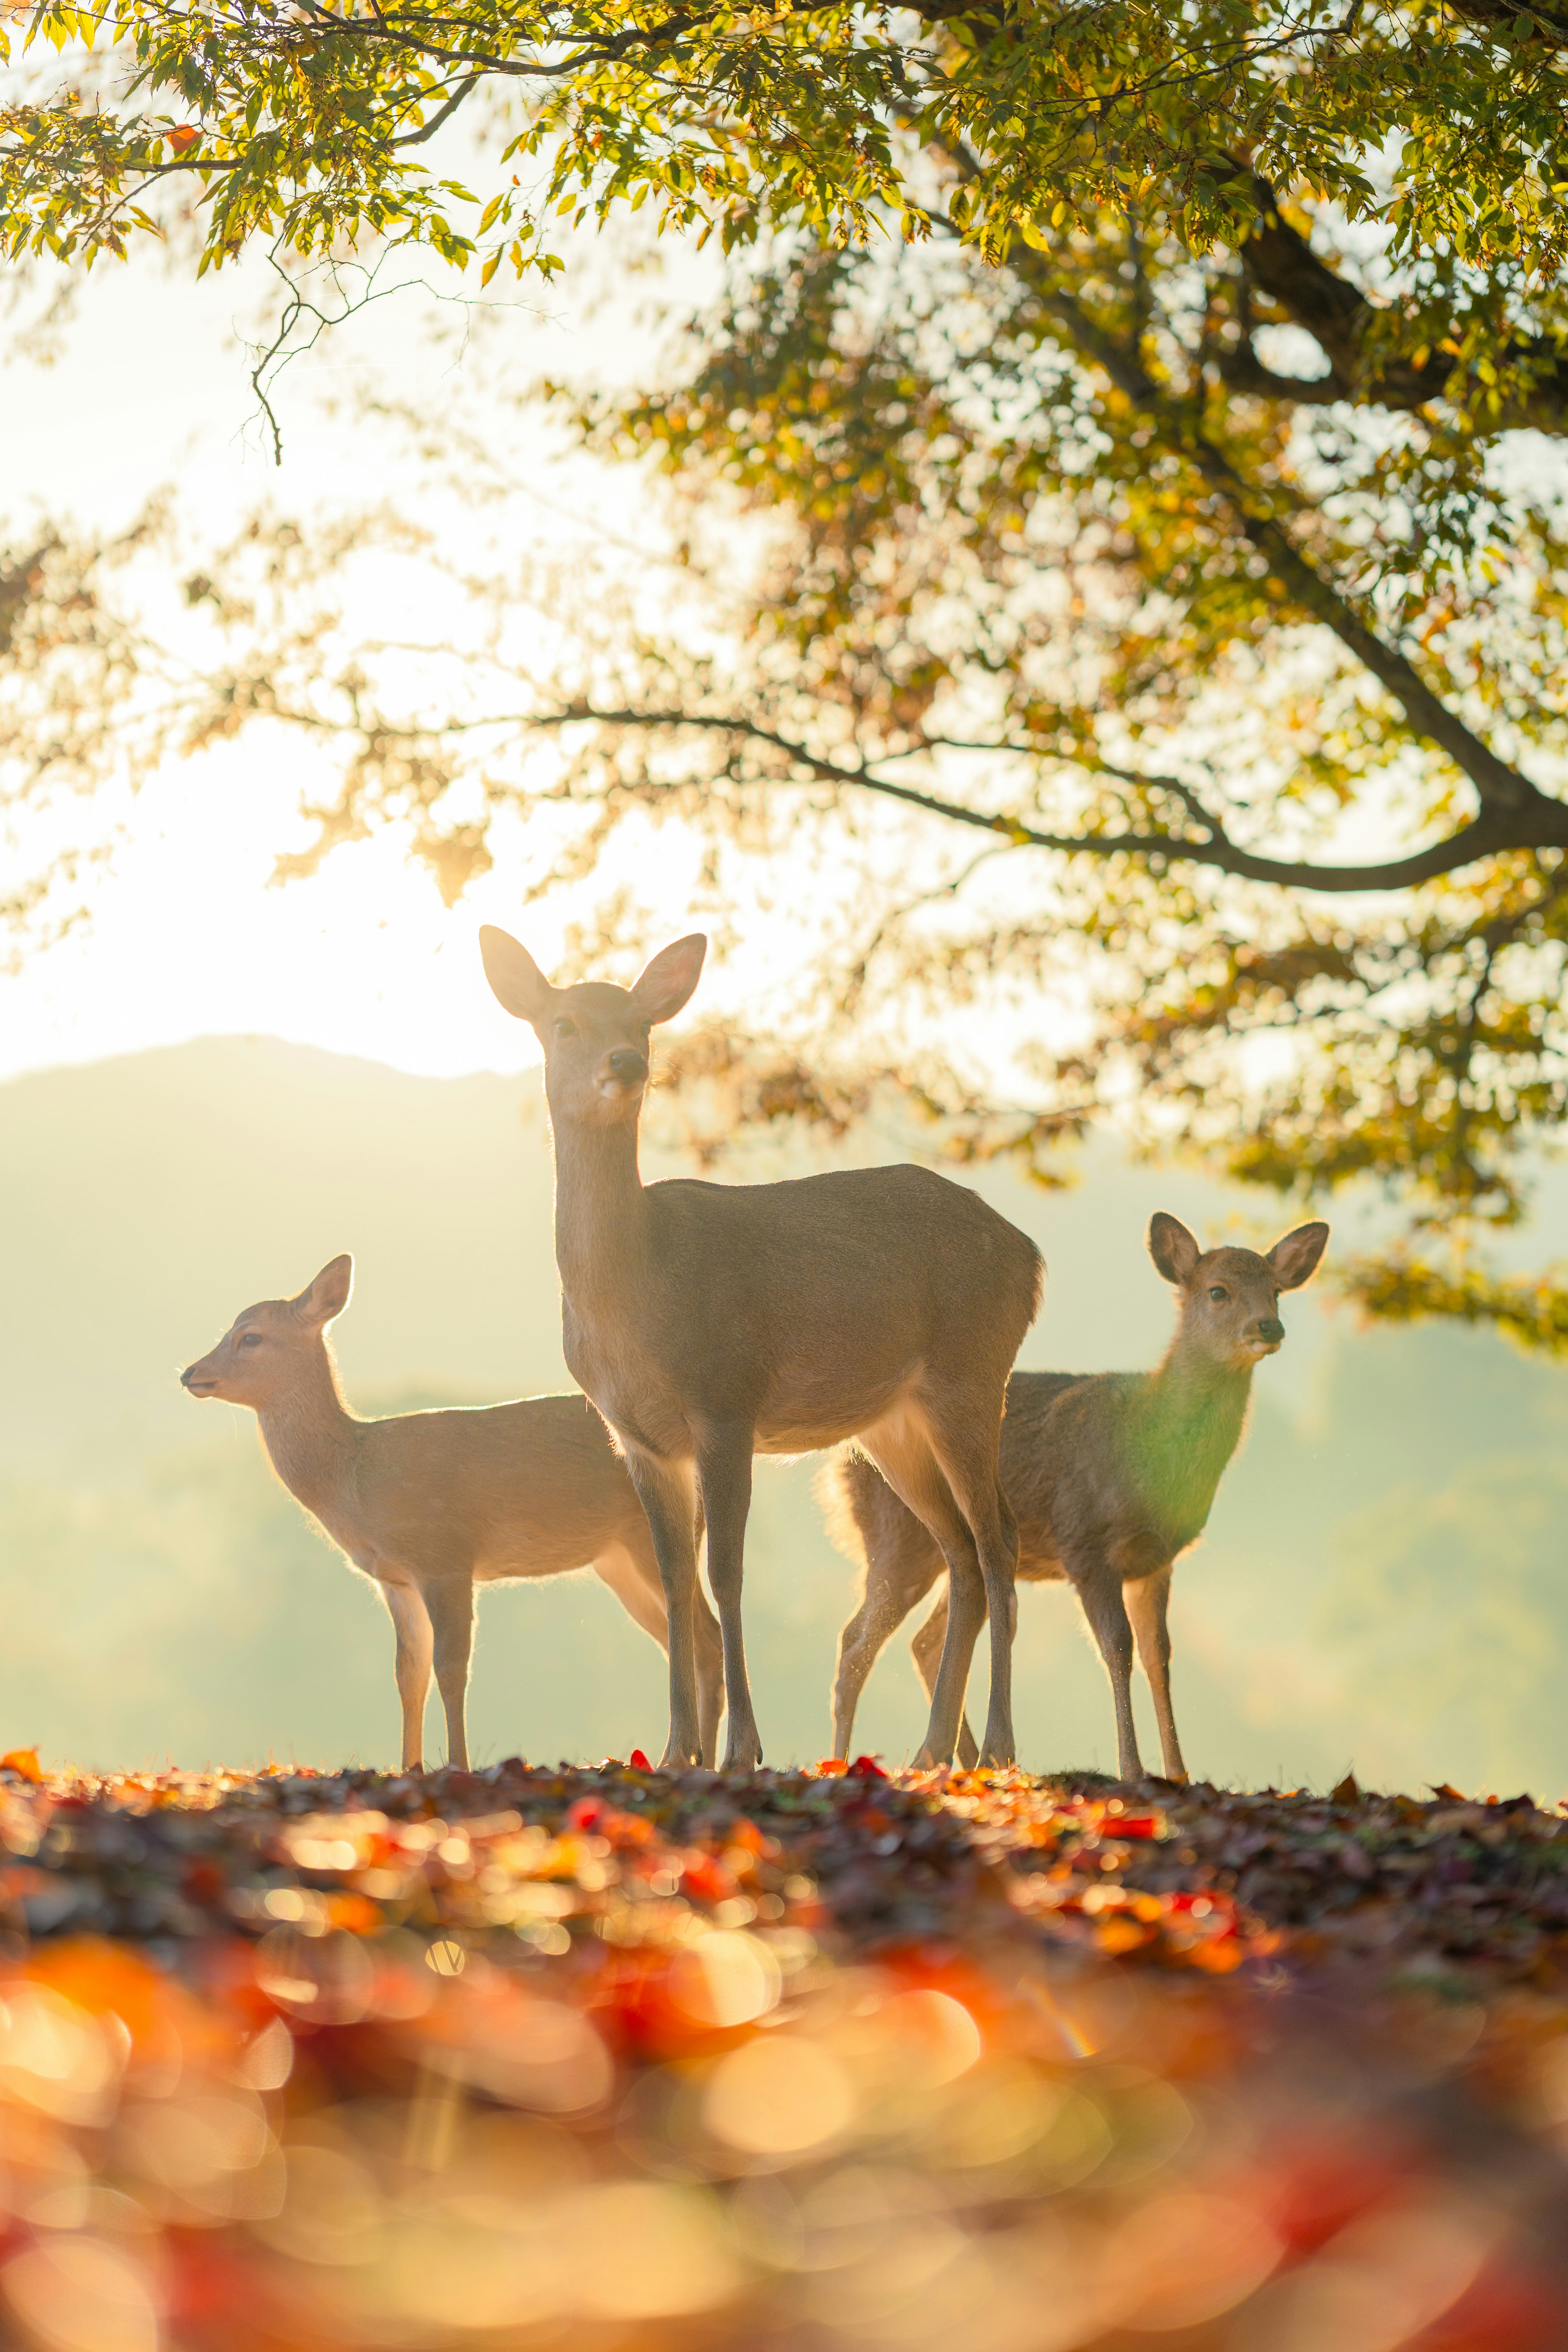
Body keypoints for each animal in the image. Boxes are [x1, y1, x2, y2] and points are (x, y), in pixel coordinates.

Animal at [179, 1254, 725, 1771]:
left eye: (251, 1336)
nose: (189, 1373)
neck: (358, 1477)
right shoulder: (395, 1578)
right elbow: (409, 1673)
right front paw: (409, 1766)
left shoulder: (446, 1556)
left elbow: (450, 1668)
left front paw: (457, 1763)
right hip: (615, 1561)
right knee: (678, 1638)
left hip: (645, 1537)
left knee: (707, 1635)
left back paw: (704, 1760)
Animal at [479, 927, 1044, 1775]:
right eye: (564, 1023)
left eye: (641, 1022)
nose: (627, 1063)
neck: (635, 1297)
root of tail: (1030, 1258)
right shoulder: (637, 1437)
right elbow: (677, 1582)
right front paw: (676, 1749)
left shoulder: (725, 1399)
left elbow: (725, 1573)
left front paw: (741, 1748)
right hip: (894, 1421)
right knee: (961, 1553)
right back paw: (929, 1751)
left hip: (971, 1371)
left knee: (997, 1539)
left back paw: (998, 1748)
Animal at [823, 1213, 1329, 1781]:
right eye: (1218, 1290)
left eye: (1277, 1291)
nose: (1270, 1328)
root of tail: (840, 1465)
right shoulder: (1085, 1541)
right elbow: (1118, 1646)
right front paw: (1133, 1769)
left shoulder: (1158, 1559)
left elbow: (1160, 1656)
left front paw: (1180, 1773)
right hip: (896, 1540)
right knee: (856, 1643)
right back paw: (843, 1762)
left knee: (925, 1641)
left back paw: (967, 1763)